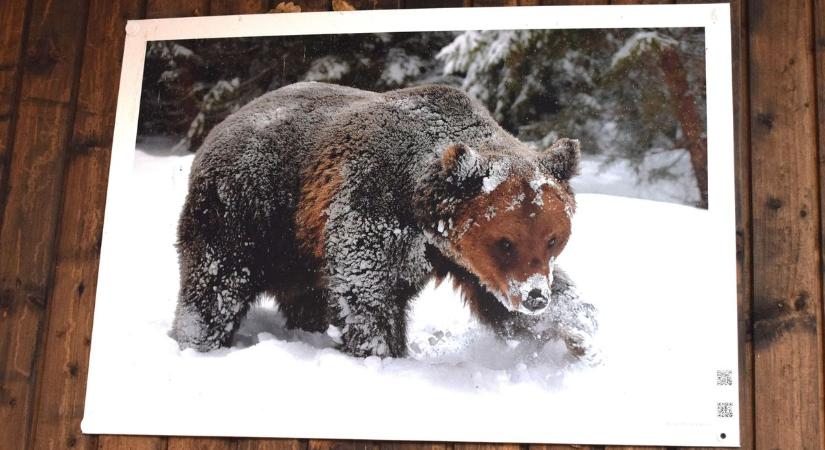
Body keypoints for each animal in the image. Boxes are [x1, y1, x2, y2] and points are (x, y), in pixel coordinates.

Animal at [172, 80, 600, 356]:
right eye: (505, 241)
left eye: (552, 238)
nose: (534, 297)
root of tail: (222, 125)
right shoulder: (371, 208)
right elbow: (368, 290)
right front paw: (381, 350)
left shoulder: (463, 259)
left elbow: (498, 301)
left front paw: (579, 334)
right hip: (248, 208)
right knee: (217, 282)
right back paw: (198, 340)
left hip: (298, 250)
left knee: (305, 296)